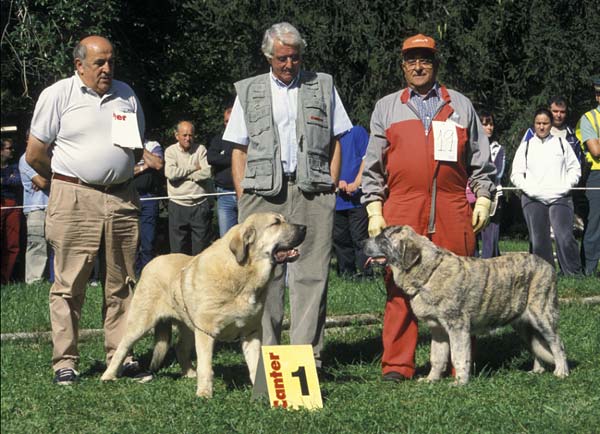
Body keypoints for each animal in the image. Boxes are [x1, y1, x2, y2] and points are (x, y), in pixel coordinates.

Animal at [102, 212, 304, 398]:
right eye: (275, 223)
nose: (304, 227)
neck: (242, 274)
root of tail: (151, 262)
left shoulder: (251, 332)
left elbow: (255, 364)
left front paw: (262, 393)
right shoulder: (207, 331)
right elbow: (206, 366)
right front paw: (205, 393)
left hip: (189, 327)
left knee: (180, 348)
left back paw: (190, 373)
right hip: (141, 323)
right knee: (122, 347)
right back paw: (108, 376)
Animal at [364, 225, 568, 384]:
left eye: (382, 238)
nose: (362, 243)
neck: (429, 272)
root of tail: (548, 265)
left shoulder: (457, 326)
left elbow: (458, 356)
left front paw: (460, 382)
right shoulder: (438, 330)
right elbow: (437, 356)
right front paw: (431, 379)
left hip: (542, 315)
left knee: (557, 343)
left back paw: (561, 371)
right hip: (523, 325)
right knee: (537, 344)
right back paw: (537, 371)